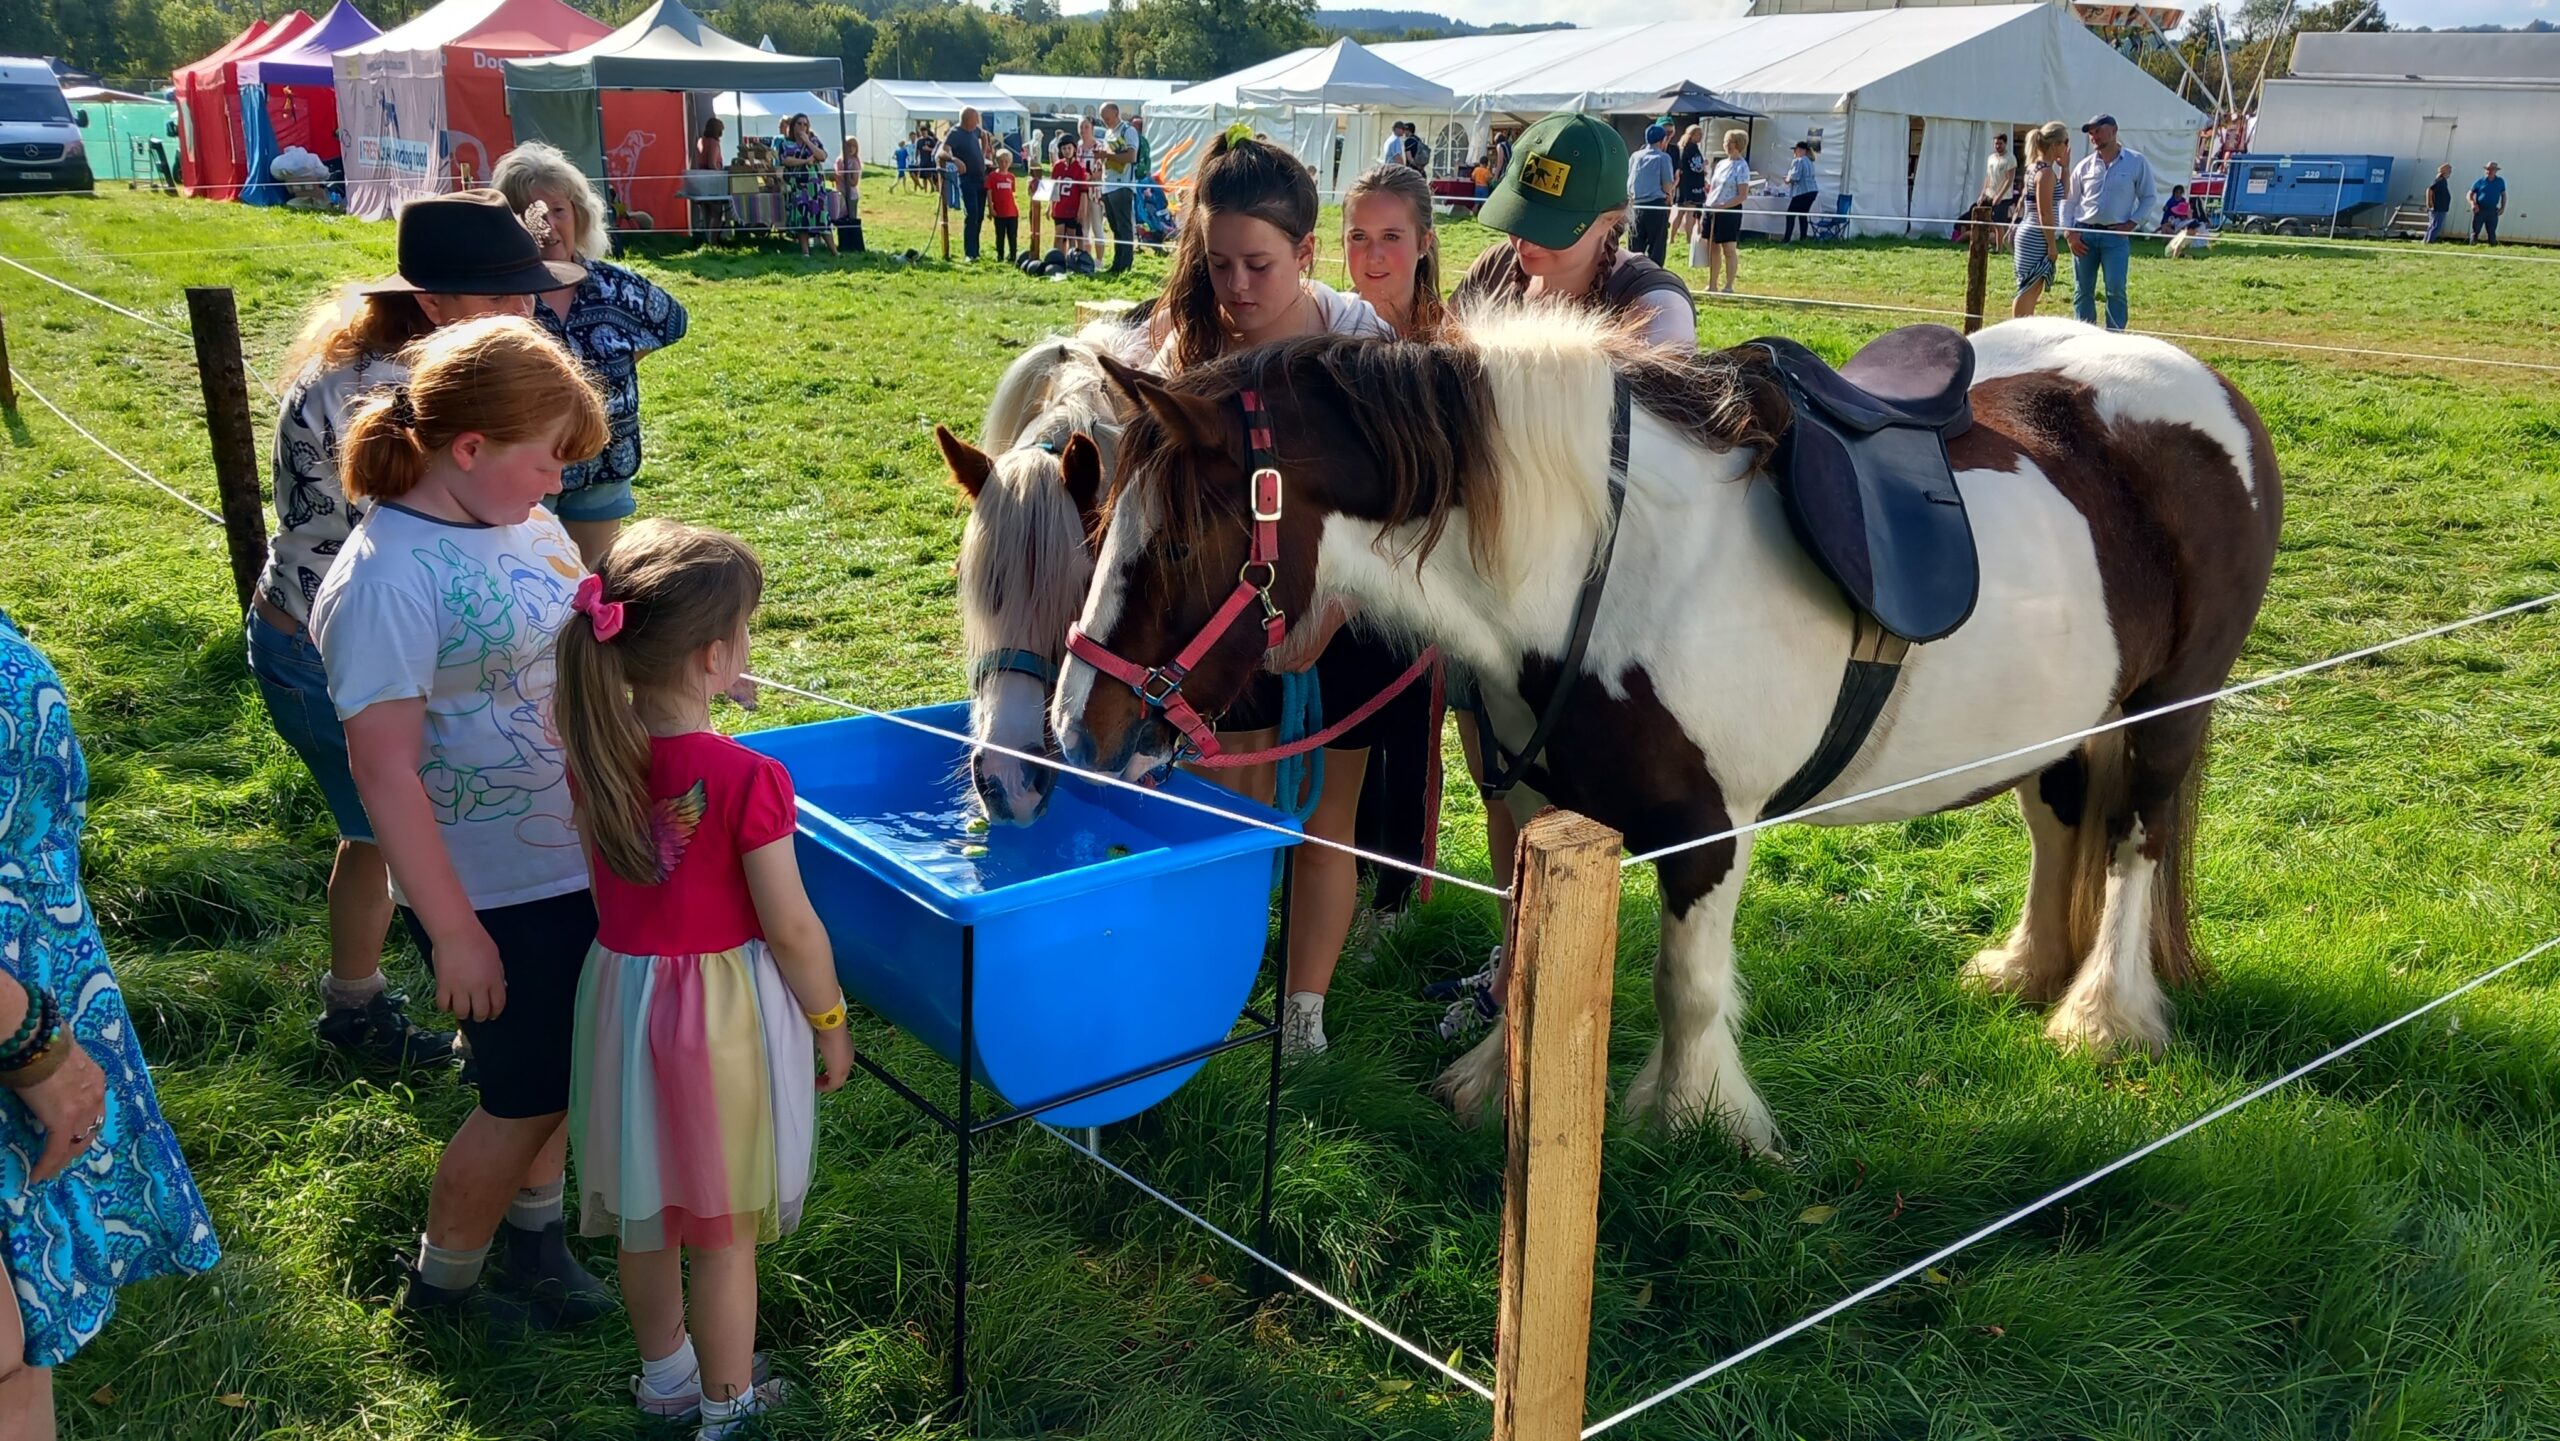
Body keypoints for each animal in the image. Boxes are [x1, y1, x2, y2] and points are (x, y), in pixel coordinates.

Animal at [1049, 309, 2293, 1156]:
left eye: (1176, 544)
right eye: (1095, 520)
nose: (1073, 728)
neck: (1602, 561)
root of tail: (2213, 395)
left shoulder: (1706, 833)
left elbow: (1682, 985)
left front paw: (1694, 1122)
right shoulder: (1544, 810)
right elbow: (1536, 963)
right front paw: (1494, 1083)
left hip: (2166, 711)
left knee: (2134, 839)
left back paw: (2100, 1018)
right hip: (2063, 719)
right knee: (2058, 823)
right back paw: (2026, 968)